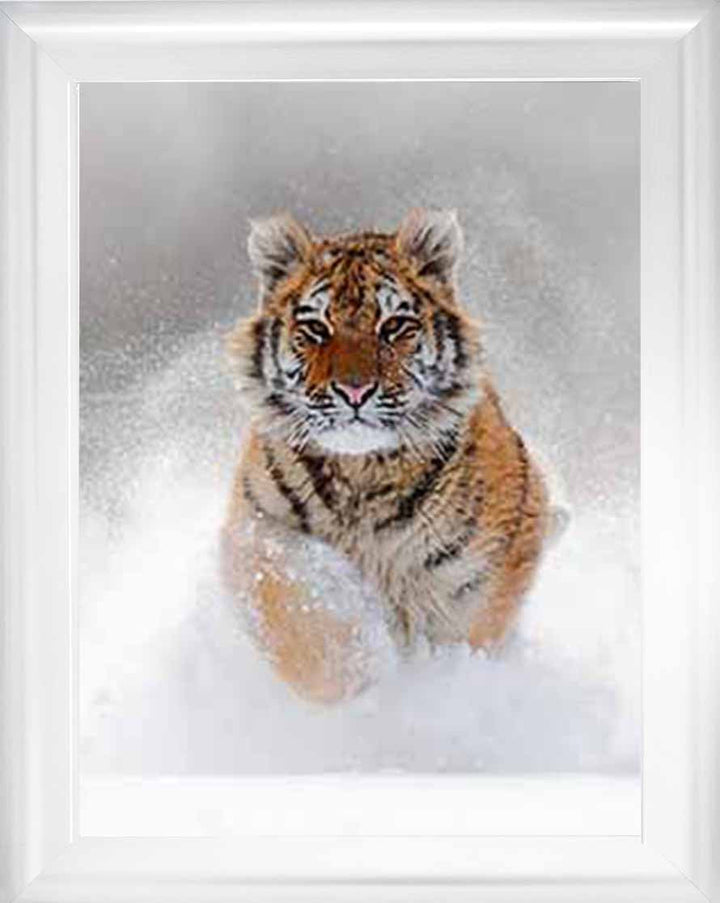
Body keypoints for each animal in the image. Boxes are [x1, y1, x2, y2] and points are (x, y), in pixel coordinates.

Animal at [221, 208, 556, 704]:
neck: (361, 472)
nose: (354, 390)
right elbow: (301, 613)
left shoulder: (487, 567)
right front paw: (357, 678)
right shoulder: (255, 532)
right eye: (316, 329)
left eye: (394, 326)